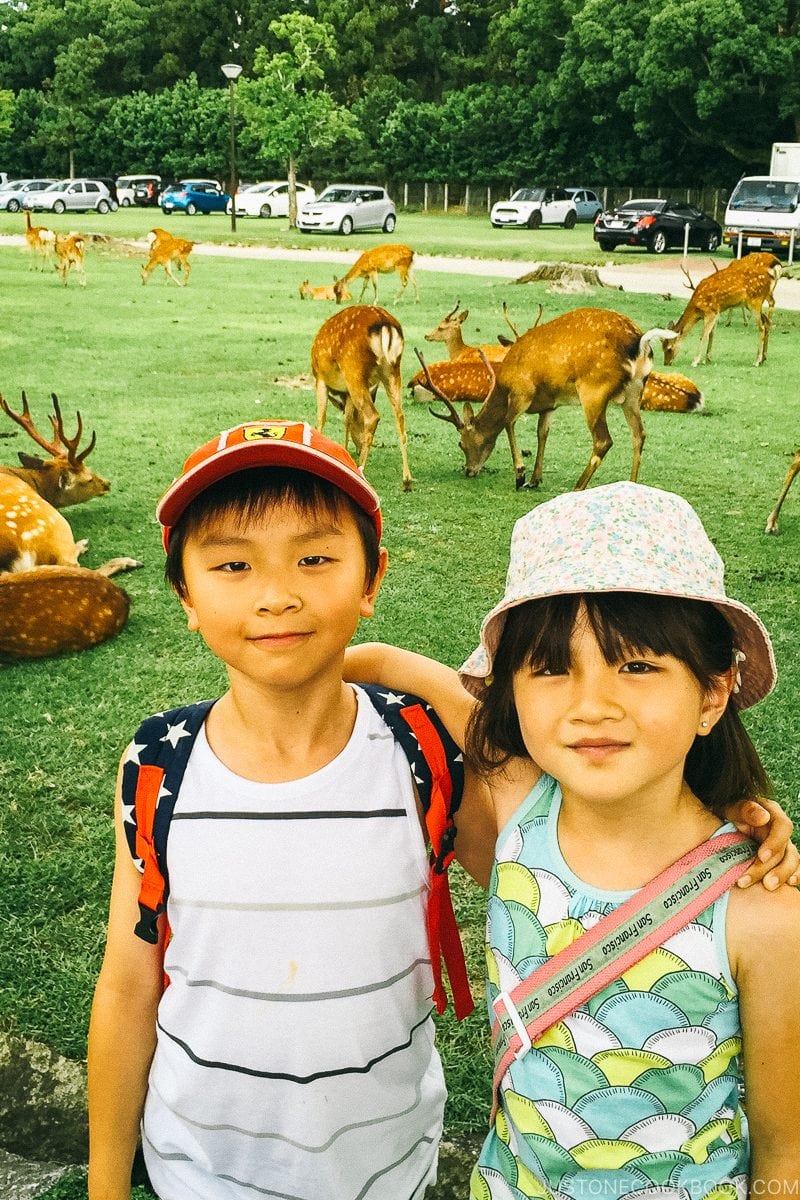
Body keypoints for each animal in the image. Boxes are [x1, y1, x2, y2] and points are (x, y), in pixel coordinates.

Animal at [311, 304, 412, 492]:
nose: (358, 449)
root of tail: (385, 324)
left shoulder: (320, 378)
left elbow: (321, 417)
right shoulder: (347, 393)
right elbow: (347, 418)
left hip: (354, 370)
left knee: (373, 416)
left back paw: (361, 469)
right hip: (392, 370)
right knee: (400, 417)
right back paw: (407, 480)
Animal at [419, 307, 676, 489]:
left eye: (461, 443)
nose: (469, 470)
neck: (503, 381)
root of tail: (639, 342)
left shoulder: (522, 391)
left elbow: (508, 422)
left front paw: (520, 475)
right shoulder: (551, 404)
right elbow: (542, 433)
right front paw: (535, 479)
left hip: (594, 389)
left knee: (603, 440)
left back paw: (578, 487)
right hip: (634, 392)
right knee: (639, 434)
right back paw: (631, 485)